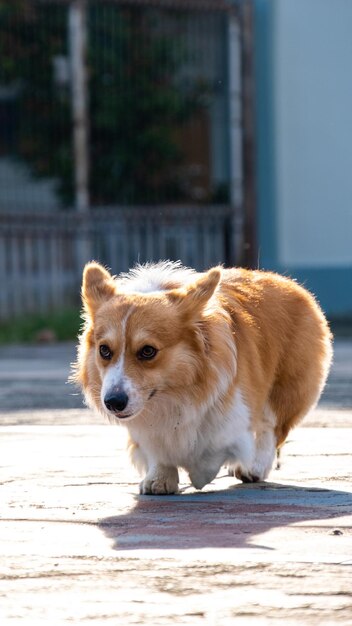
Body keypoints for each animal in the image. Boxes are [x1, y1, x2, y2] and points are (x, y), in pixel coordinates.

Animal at [73, 258, 332, 492]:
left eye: (148, 351)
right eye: (104, 350)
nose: (113, 402)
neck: (172, 394)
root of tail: (288, 282)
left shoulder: (233, 409)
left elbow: (215, 448)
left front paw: (200, 473)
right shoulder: (149, 426)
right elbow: (157, 449)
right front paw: (160, 479)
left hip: (284, 390)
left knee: (270, 429)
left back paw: (254, 467)